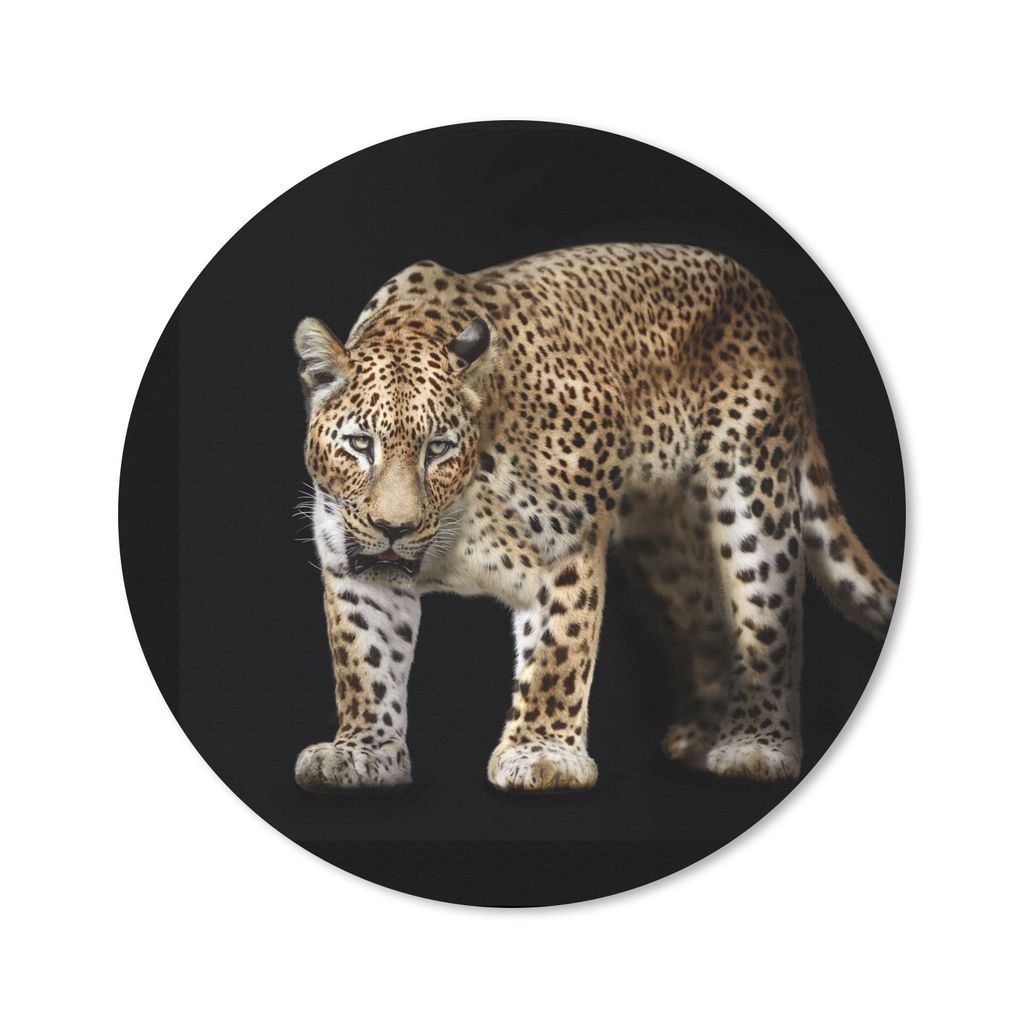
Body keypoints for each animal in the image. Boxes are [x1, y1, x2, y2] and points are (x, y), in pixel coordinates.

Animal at [292, 243, 898, 792]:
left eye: (438, 448)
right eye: (360, 444)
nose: (394, 528)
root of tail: (766, 302)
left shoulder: (568, 541)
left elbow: (559, 648)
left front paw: (543, 754)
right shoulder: (355, 569)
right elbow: (365, 661)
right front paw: (363, 752)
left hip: (753, 487)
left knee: (769, 615)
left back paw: (756, 744)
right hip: (666, 547)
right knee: (706, 617)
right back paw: (700, 739)